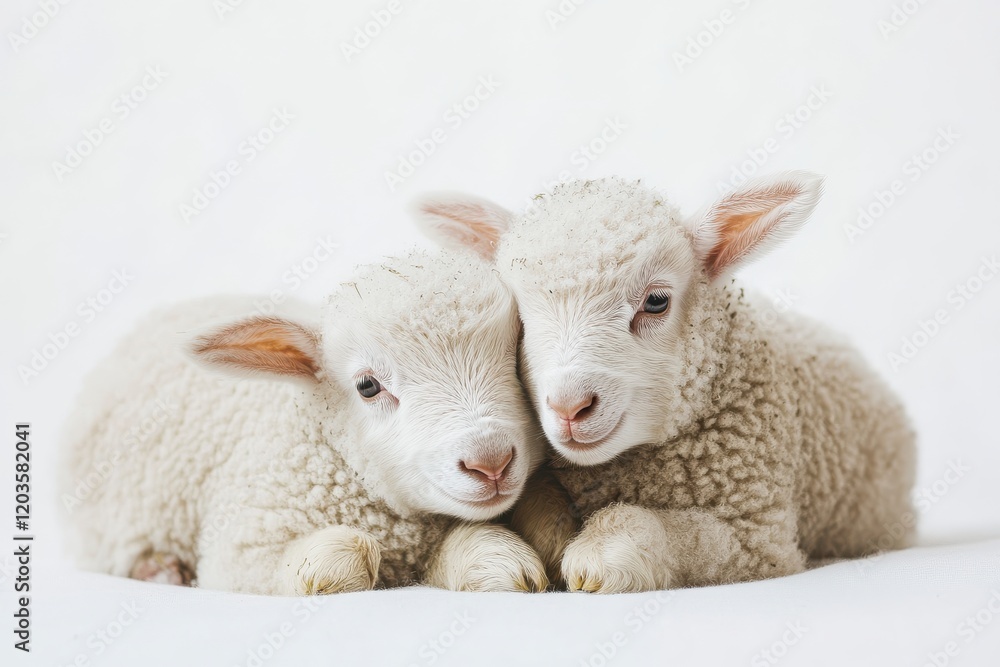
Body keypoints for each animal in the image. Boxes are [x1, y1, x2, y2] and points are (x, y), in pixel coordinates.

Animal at [59, 249, 551, 595]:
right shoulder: (237, 549)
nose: (490, 461)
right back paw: (158, 570)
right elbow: (343, 555)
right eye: (367, 386)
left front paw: (498, 561)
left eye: (516, 358)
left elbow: (489, 558)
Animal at [411, 172, 918, 593]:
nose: (570, 407)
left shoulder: (758, 537)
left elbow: (677, 535)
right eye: (519, 319)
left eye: (656, 301)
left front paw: (599, 555)